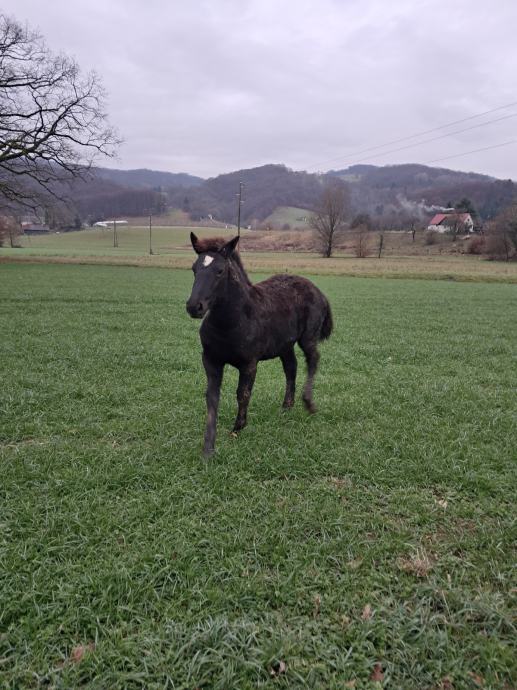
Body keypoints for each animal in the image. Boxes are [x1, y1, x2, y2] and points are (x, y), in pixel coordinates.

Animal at [186, 233, 333, 455]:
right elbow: (211, 397)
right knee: (291, 368)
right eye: (194, 269)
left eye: (220, 271)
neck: (230, 322)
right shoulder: (211, 360)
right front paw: (208, 448)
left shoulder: (249, 363)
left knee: (313, 359)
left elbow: (243, 394)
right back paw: (286, 406)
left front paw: (238, 428)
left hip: (307, 338)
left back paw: (308, 403)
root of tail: (319, 291)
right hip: (285, 345)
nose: (194, 307)